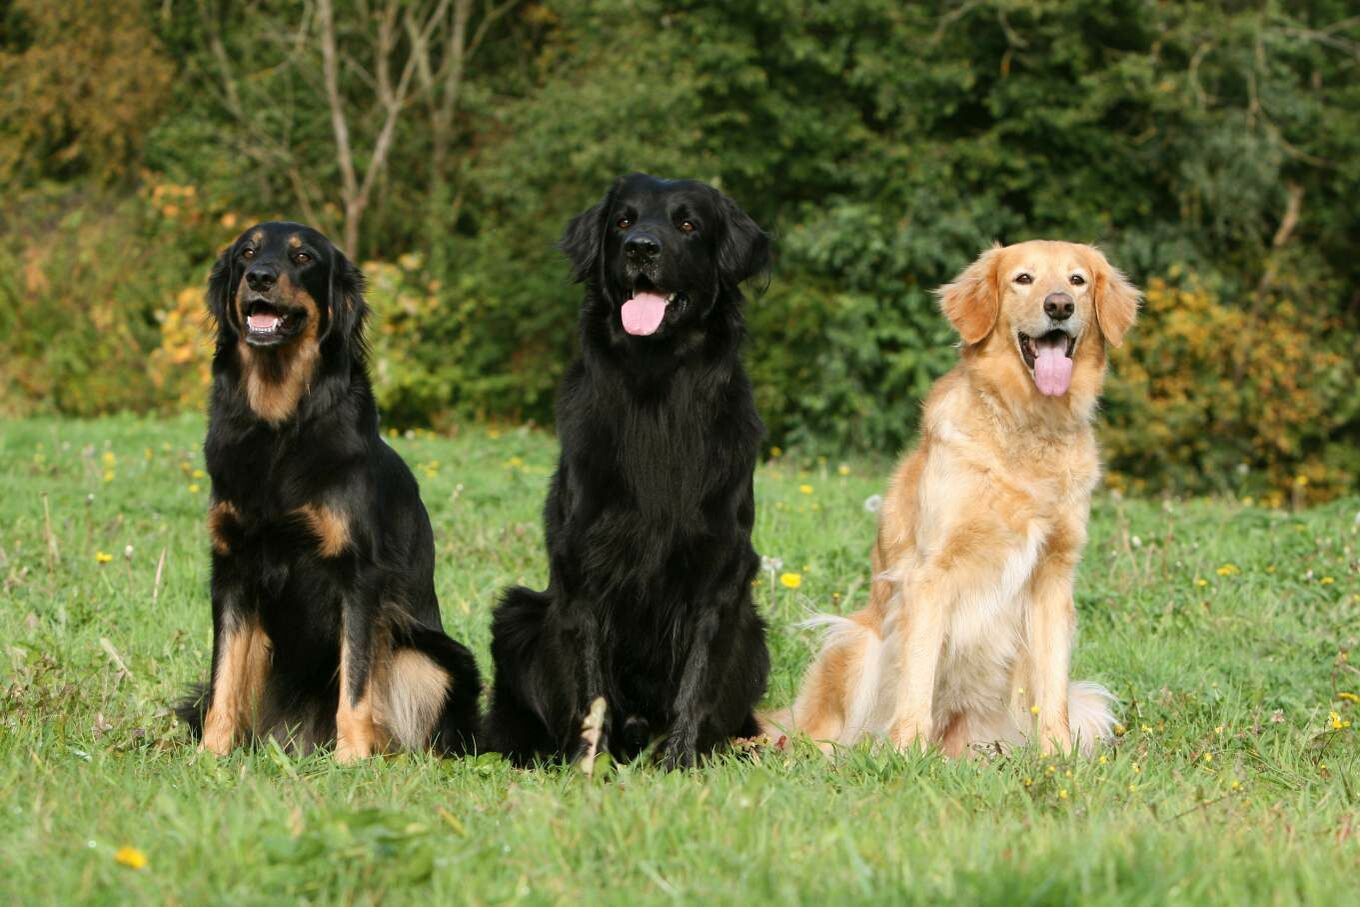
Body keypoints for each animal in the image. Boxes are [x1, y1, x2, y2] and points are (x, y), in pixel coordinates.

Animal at [178, 223, 481, 761]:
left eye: (303, 258)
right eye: (247, 252)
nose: (259, 277)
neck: (279, 426)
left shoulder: (357, 575)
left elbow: (356, 682)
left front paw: (353, 758)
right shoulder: (232, 569)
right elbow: (224, 681)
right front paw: (211, 755)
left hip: (429, 655)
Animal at [484, 174, 772, 772]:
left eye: (688, 224)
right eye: (623, 221)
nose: (642, 247)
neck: (656, 387)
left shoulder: (721, 571)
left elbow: (698, 679)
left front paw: (681, 762)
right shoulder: (583, 567)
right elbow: (590, 686)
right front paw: (588, 765)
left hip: (755, 635)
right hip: (518, 612)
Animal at [772, 237, 1142, 756]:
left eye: (1077, 280)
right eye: (1023, 278)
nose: (1059, 306)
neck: (1027, 425)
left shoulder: (1054, 577)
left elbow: (1052, 689)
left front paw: (1056, 757)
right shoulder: (930, 575)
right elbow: (918, 679)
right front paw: (906, 755)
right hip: (856, 644)